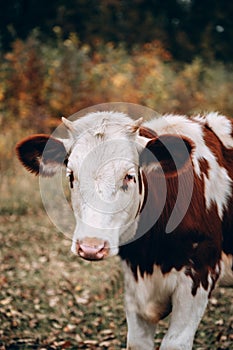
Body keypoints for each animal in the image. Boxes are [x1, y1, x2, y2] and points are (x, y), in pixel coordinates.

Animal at [16, 111, 233, 350]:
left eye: (129, 176)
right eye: (71, 175)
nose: (91, 247)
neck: (150, 259)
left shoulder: (199, 276)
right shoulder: (133, 287)